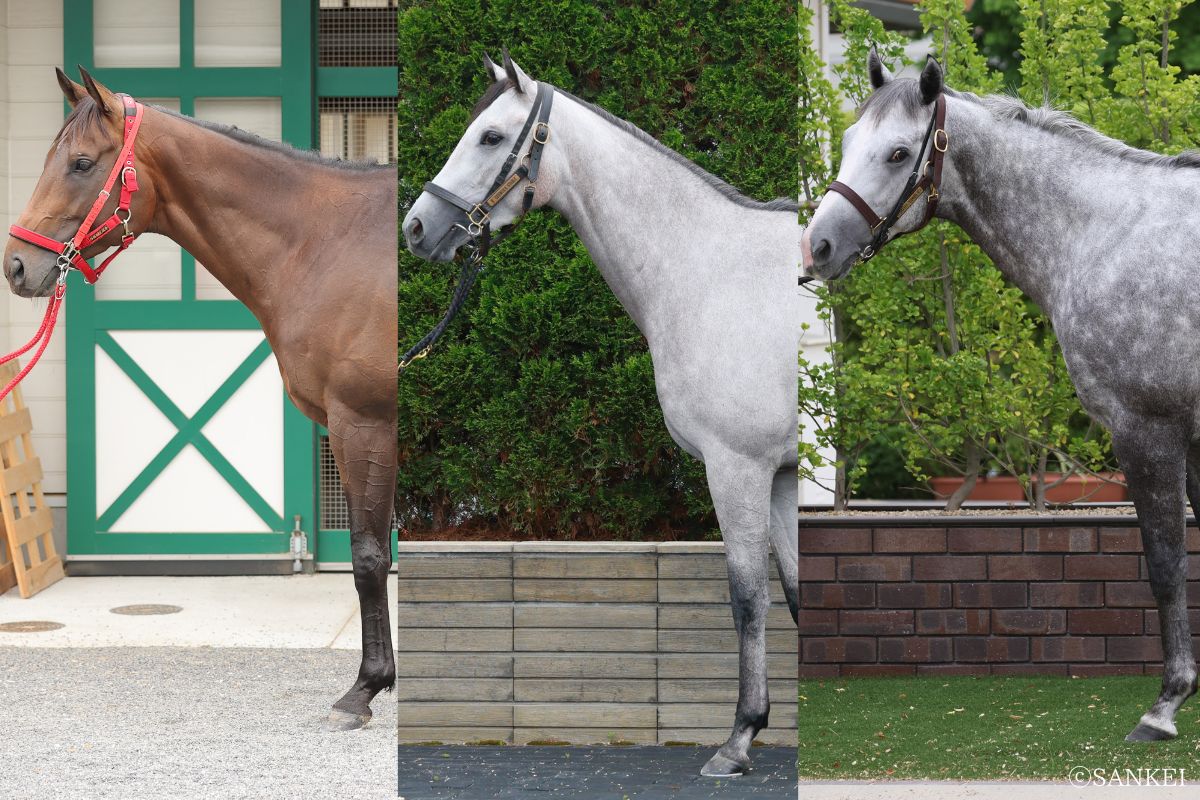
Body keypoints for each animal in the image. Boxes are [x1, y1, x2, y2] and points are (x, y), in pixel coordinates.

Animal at [3, 68, 398, 731]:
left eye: (82, 163)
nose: (16, 266)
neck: (329, 242)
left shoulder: (362, 426)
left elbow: (369, 559)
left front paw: (364, 689)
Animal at [402, 53, 800, 777]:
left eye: (491, 137)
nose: (416, 228)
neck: (714, 272)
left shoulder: (740, 467)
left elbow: (749, 598)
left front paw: (738, 739)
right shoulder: (782, 474)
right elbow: (794, 594)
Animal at [803, 51, 1199, 743]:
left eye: (898, 152)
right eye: (848, 141)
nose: (817, 246)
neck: (1110, 235)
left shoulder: (1148, 429)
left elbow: (1166, 563)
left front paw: (1164, 707)